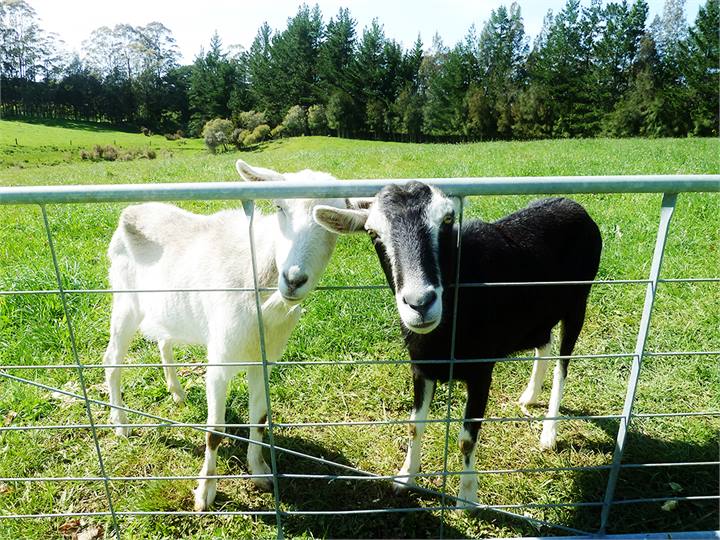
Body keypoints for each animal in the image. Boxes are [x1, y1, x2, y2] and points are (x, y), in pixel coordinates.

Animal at [103, 160, 348, 511]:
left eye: (332, 222)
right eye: (279, 207)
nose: (293, 279)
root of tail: (131, 210)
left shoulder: (262, 361)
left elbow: (259, 419)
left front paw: (260, 472)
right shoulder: (220, 362)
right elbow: (215, 432)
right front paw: (205, 493)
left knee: (164, 340)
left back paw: (177, 392)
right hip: (125, 300)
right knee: (112, 360)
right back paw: (121, 424)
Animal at [314, 182, 602, 506]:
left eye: (447, 220)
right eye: (373, 233)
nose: (420, 303)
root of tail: (574, 204)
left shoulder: (481, 372)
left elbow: (467, 437)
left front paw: (467, 497)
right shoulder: (421, 368)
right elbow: (414, 426)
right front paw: (405, 478)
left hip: (578, 302)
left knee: (562, 366)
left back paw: (549, 434)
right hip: (539, 314)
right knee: (545, 342)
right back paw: (529, 396)